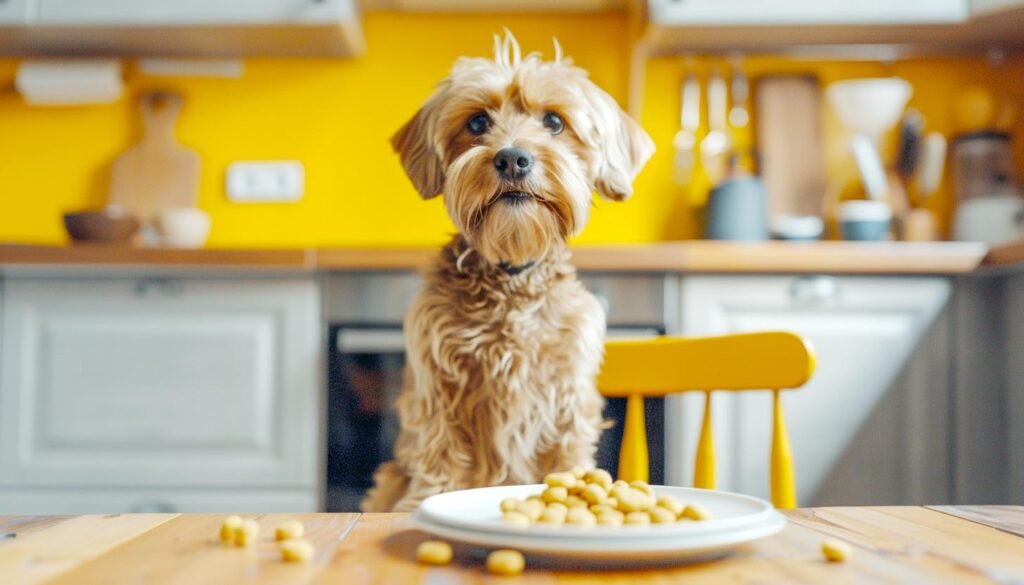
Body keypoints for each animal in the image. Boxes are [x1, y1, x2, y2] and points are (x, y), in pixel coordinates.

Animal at [364, 33, 651, 512]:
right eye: (478, 122)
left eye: (554, 121)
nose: (513, 158)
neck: (512, 275)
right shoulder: (441, 390)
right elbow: (441, 460)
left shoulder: (566, 396)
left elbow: (567, 455)